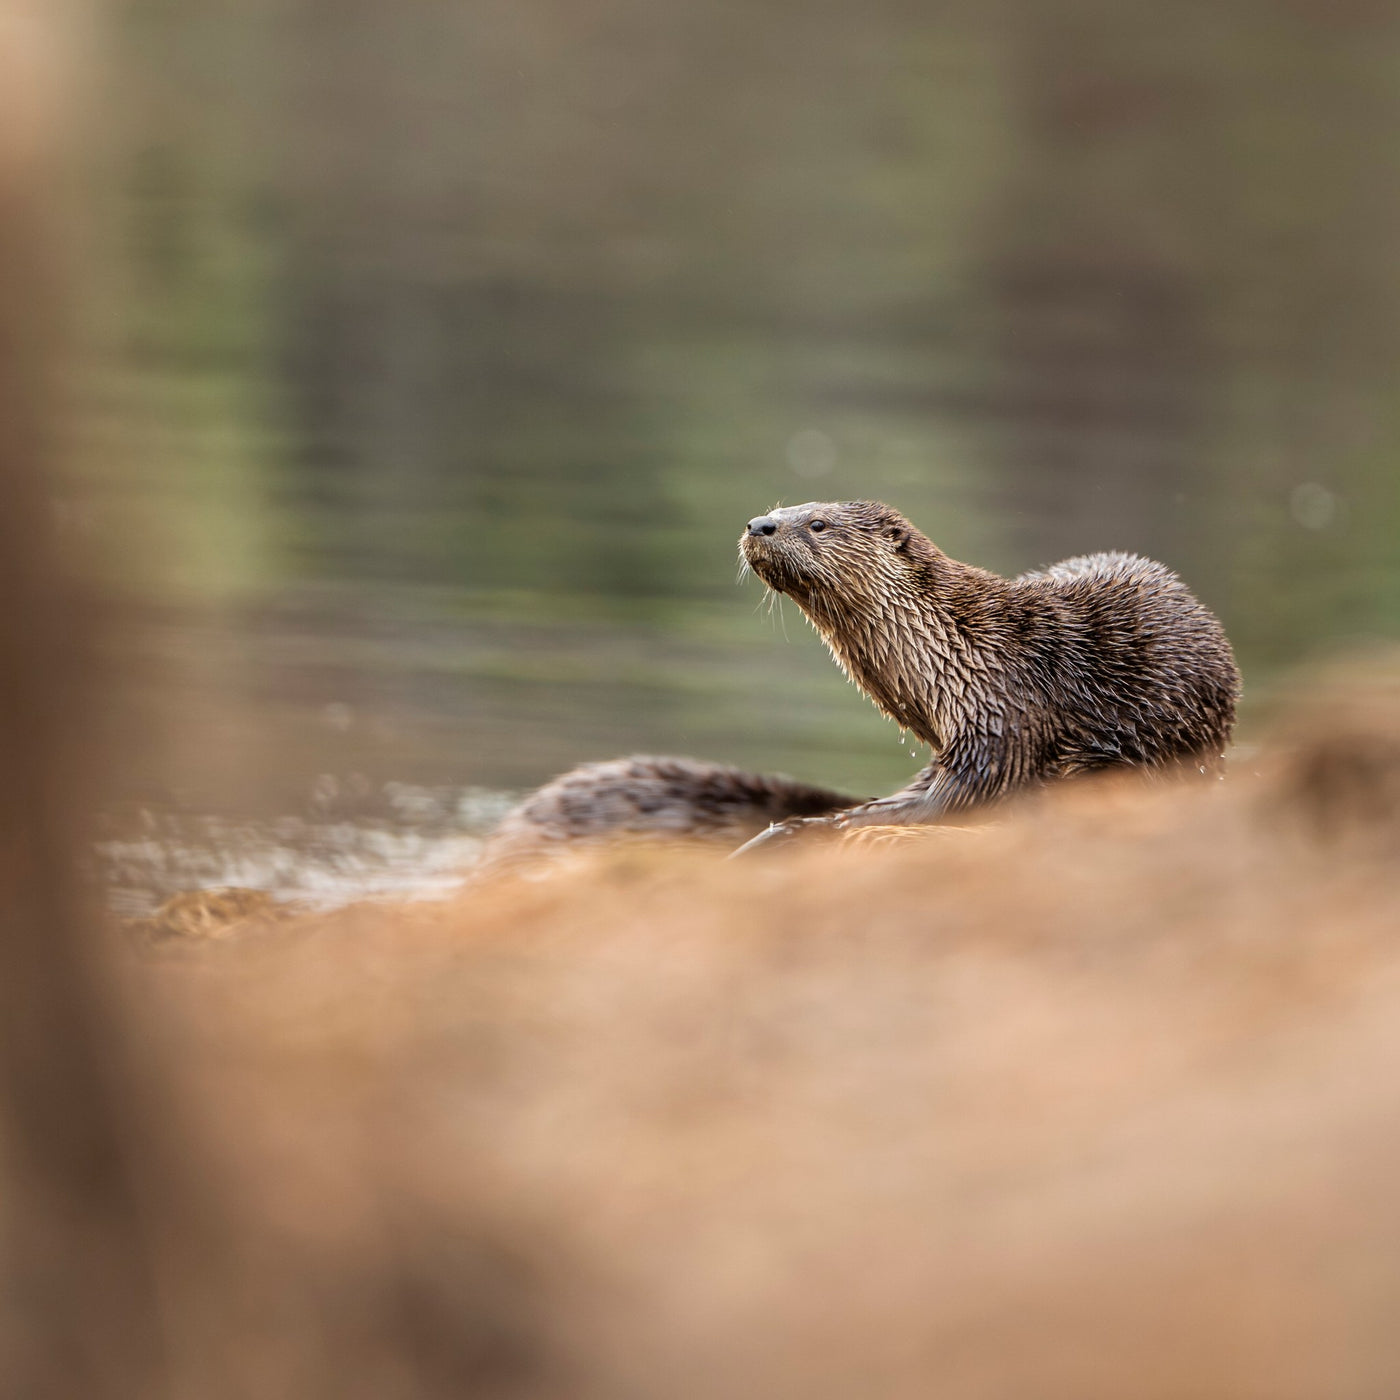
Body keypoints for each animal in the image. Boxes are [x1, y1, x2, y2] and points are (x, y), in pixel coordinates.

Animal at [478, 500, 1240, 865]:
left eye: (817, 522)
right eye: (780, 507)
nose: (760, 523)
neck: (962, 651)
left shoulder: (1002, 715)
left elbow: (959, 797)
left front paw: (840, 827)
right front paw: (807, 825)